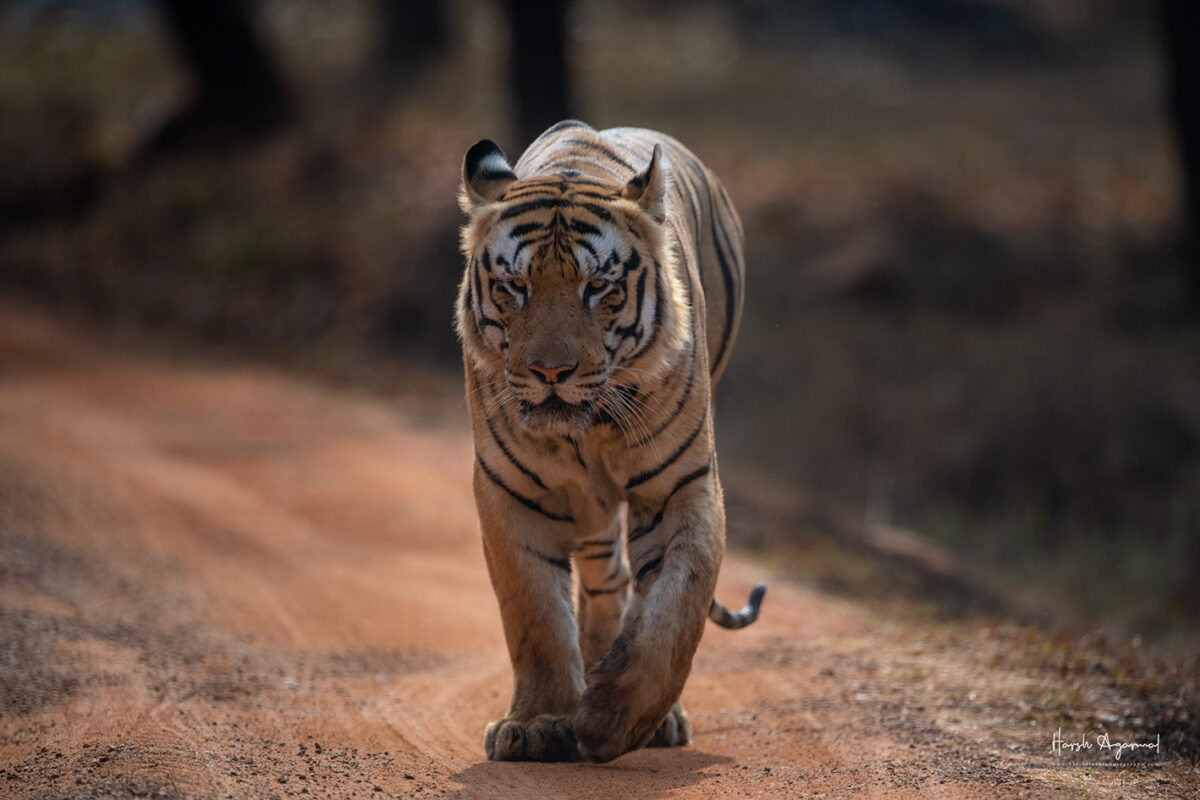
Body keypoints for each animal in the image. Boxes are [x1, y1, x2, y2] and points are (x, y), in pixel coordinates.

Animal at [456, 120, 765, 763]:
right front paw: (540, 723)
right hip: (591, 516)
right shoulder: (511, 492)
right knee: (605, 583)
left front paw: (612, 721)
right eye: (515, 286)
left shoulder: (681, 487)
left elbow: (674, 612)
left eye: (597, 287)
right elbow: (536, 616)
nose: (550, 372)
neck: (589, 430)